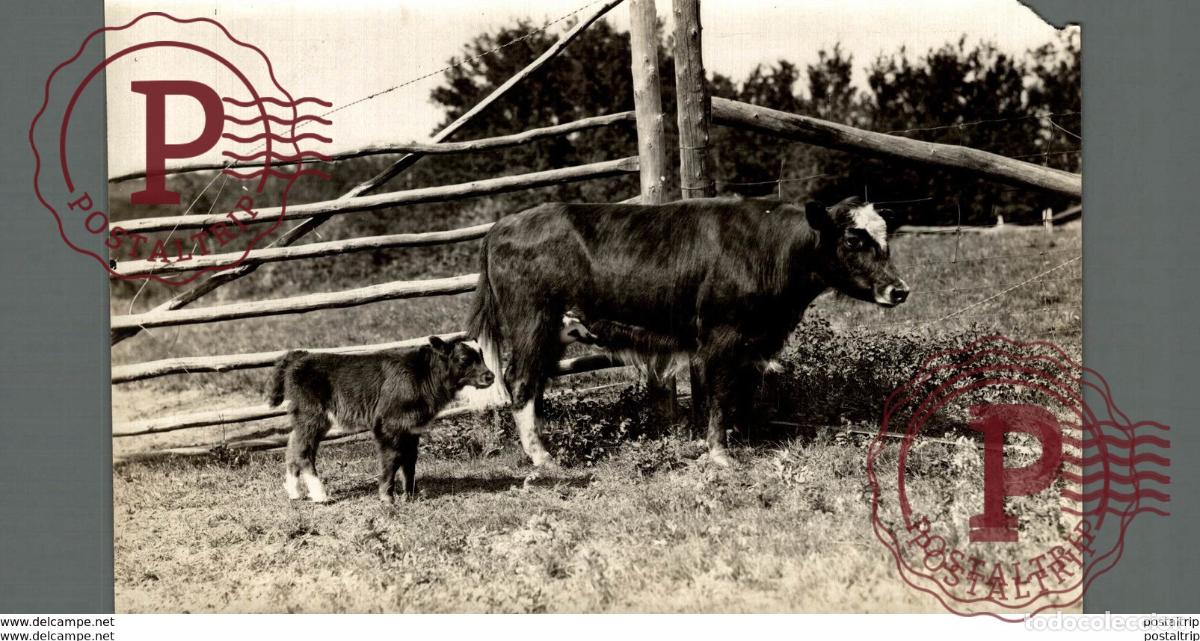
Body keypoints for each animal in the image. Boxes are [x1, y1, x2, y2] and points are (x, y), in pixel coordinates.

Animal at [467, 196, 909, 468]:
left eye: (886, 239)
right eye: (853, 239)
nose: (899, 290)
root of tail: (502, 225)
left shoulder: (752, 343)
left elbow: (742, 393)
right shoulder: (722, 337)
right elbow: (720, 396)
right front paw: (720, 453)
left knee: (534, 384)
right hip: (532, 322)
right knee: (521, 382)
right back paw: (542, 456)